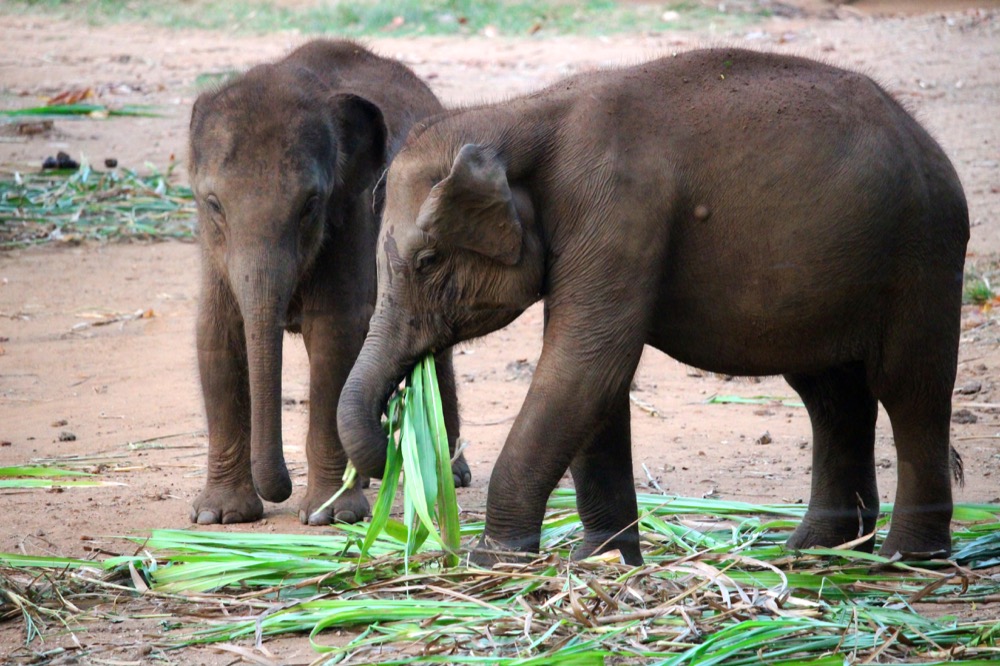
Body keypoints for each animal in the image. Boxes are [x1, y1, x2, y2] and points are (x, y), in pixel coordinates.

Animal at [187, 39, 470, 527]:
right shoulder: (212, 248)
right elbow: (217, 335)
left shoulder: (353, 216)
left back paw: (449, 475)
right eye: (213, 204)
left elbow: (335, 338)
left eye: (310, 205)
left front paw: (330, 515)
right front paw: (219, 517)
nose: (280, 490)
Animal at [338, 48, 969, 565]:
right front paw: (602, 558)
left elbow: (586, 365)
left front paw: (493, 559)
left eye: (426, 261)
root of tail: (927, 140)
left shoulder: (617, 212)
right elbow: (595, 379)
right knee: (833, 396)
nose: (394, 432)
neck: (520, 115)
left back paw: (908, 560)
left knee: (909, 389)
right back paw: (819, 549)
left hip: (923, 253)